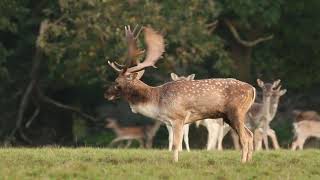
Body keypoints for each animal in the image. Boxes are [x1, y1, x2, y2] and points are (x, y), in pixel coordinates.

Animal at [104, 24, 256, 163]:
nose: (106, 94)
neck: (157, 101)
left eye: (117, 82)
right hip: (229, 116)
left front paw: (175, 162)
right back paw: (249, 161)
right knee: (250, 134)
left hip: (236, 111)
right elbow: (173, 141)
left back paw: (243, 162)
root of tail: (252, 89)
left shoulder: (178, 117)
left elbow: (176, 143)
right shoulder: (171, 122)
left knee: (244, 137)